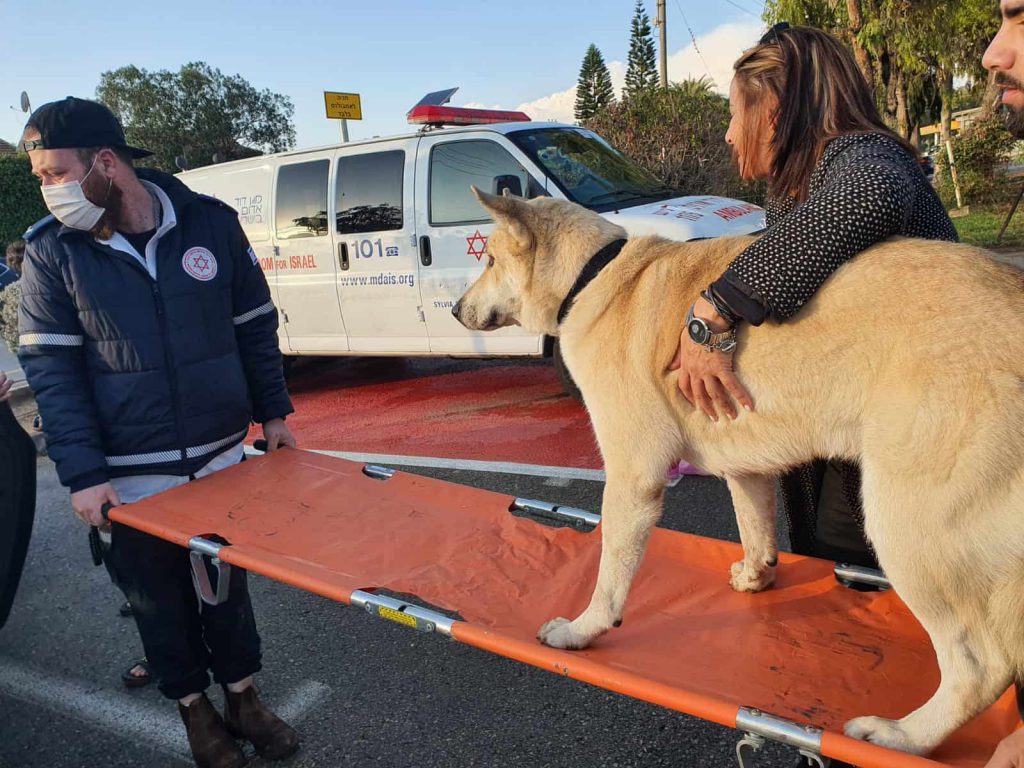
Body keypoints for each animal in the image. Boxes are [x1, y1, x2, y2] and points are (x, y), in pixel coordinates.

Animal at [454, 188, 1024, 757]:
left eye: (489, 261)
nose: (456, 310)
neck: (593, 275)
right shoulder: (746, 464)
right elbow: (755, 528)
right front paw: (757, 576)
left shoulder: (633, 477)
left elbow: (610, 571)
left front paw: (584, 630)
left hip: (903, 525)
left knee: (981, 667)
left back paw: (903, 736)